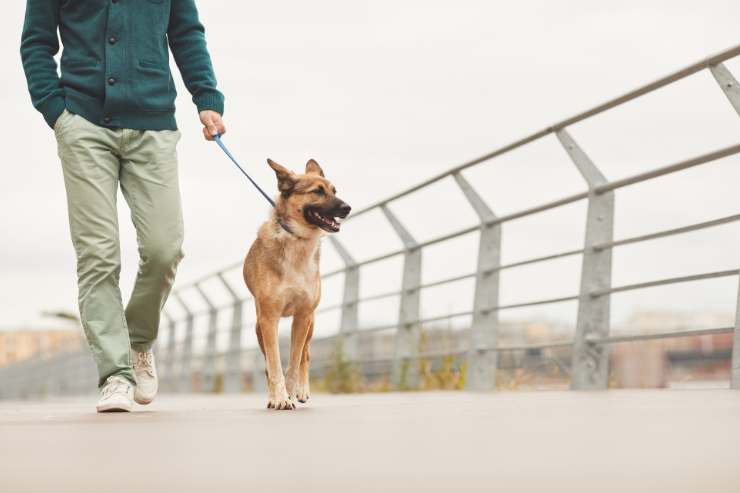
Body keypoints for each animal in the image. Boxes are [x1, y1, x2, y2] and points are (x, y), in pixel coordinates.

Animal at [241, 158, 348, 408]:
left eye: (334, 191)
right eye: (317, 191)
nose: (347, 208)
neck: (297, 239)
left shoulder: (302, 317)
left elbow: (294, 361)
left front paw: (290, 393)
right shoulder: (268, 319)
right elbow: (274, 364)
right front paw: (279, 398)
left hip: (310, 324)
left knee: (305, 356)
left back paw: (302, 391)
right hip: (259, 327)